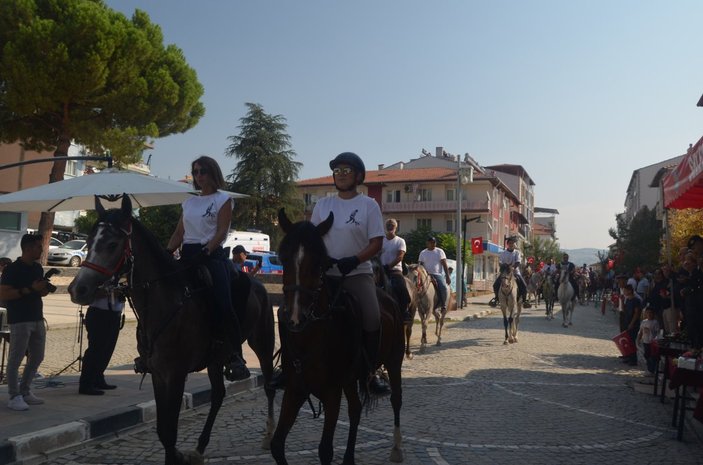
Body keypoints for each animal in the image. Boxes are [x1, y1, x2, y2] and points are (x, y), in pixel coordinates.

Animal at [68, 197, 278, 464]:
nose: (78, 289)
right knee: (218, 395)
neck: (165, 300)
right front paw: (177, 453)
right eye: (89, 240)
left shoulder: (176, 374)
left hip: (262, 343)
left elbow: (170, 430)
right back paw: (199, 447)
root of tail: (259, 285)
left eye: (113, 244)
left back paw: (269, 436)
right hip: (215, 358)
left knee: (269, 385)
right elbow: (163, 430)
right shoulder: (158, 373)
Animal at [270, 210, 404, 464]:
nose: (295, 318)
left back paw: (396, 449)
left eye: (319, 263)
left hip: (394, 362)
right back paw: (350, 457)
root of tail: (389, 298)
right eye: (282, 259)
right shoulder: (295, 390)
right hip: (350, 380)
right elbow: (277, 444)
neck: (311, 335)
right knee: (355, 409)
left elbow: (325, 450)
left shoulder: (331, 393)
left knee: (396, 401)